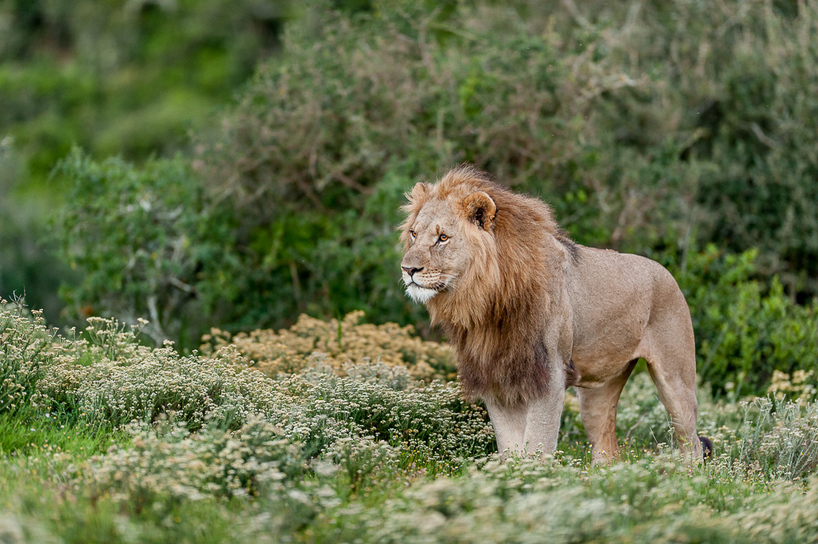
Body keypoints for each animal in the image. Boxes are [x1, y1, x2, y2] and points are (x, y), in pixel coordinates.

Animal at [402, 167, 708, 464]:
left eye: (443, 238)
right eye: (414, 234)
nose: (408, 269)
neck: (486, 301)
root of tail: (667, 273)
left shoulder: (550, 374)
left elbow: (538, 443)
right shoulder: (495, 376)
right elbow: (509, 447)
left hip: (676, 379)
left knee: (691, 442)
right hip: (597, 392)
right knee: (607, 449)